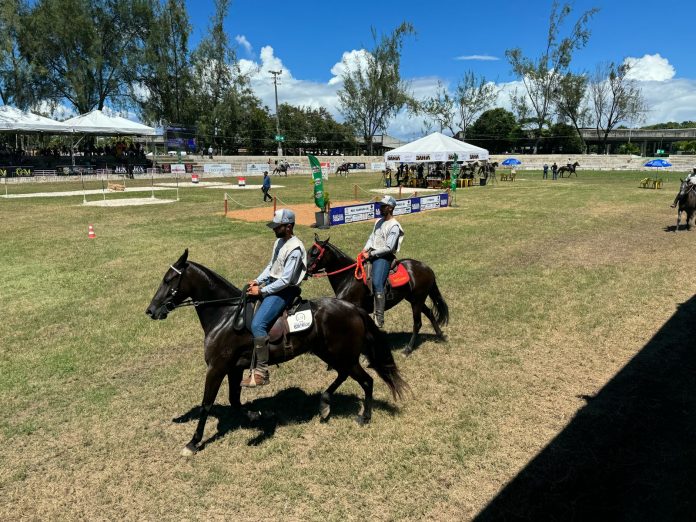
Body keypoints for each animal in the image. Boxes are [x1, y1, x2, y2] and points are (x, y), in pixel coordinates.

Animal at [146, 249, 408, 455]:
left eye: (169, 280)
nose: (151, 310)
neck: (226, 315)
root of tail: (353, 309)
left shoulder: (217, 368)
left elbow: (207, 404)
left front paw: (193, 442)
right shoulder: (233, 368)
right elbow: (234, 400)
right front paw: (257, 415)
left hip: (342, 355)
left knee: (367, 380)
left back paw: (365, 416)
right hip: (332, 353)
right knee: (344, 375)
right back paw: (324, 404)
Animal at [306, 236, 449, 355]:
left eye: (315, 253)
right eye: (308, 252)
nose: (305, 270)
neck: (348, 278)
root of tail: (427, 268)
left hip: (417, 300)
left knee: (417, 323)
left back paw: (408, 349)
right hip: (414, 299)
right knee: (430, 313)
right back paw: (440, 336)